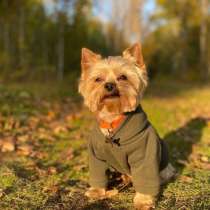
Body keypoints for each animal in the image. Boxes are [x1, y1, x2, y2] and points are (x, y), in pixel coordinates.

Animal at [78, 43, 175, 209]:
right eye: (98, 79)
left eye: (123, 77)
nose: (109, 85)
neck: (113, 120)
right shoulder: (96, 155)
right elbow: (98, 172)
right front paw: (97, 191)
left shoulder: (145, 155)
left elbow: (146, 175)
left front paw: (143, 200)